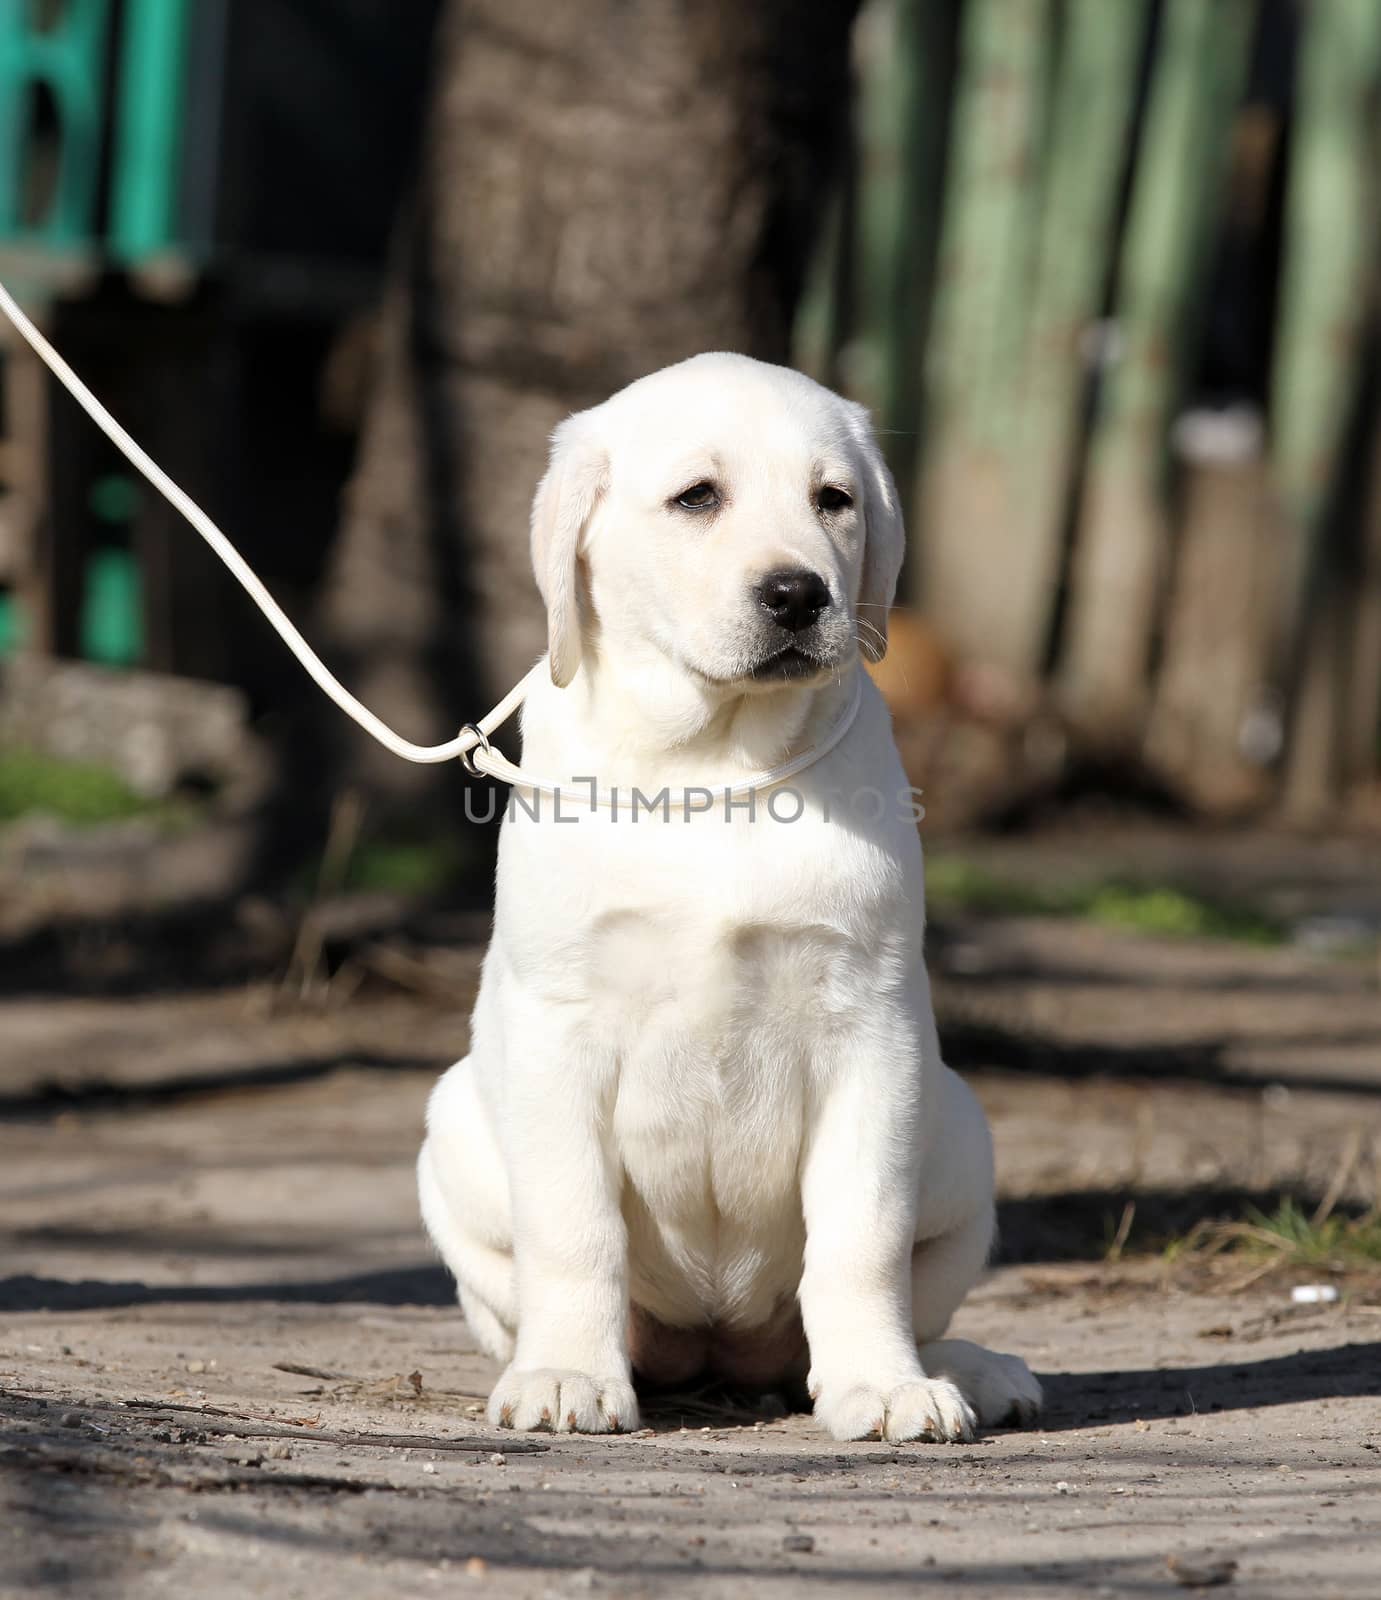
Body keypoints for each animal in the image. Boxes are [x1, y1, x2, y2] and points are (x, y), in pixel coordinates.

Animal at [416, 356, 1043, 1446]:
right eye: (696, 498)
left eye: (833, 499)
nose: (797, 593)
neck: (716, 760)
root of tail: (718, 1351)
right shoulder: (558, 1028)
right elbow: (573, 1225)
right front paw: (567, 1373)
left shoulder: (870, 1028)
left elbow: (861, 1233)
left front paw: (882, 1383)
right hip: (452, 1129)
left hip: (962, 1133)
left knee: (885, 1306)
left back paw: (962, 1365)